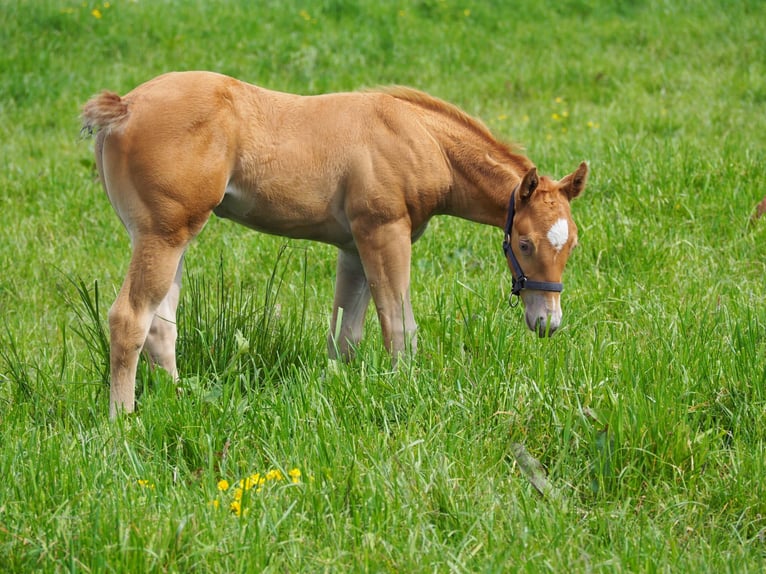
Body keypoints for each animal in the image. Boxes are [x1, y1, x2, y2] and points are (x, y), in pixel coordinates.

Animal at [81, 71, 592, 418]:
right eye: (524, 243)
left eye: (571, 245)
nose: (547, 323)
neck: (420, 137)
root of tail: (125, 105)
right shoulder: (384, 232)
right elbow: (399, 325)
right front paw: (406, 390)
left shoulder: (353, 246)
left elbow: (346, 333)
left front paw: (337, 389)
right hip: (163, 235)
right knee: (129, 318)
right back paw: (123, 420)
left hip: (171, 236)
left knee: (161, 324)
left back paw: (177, 399)